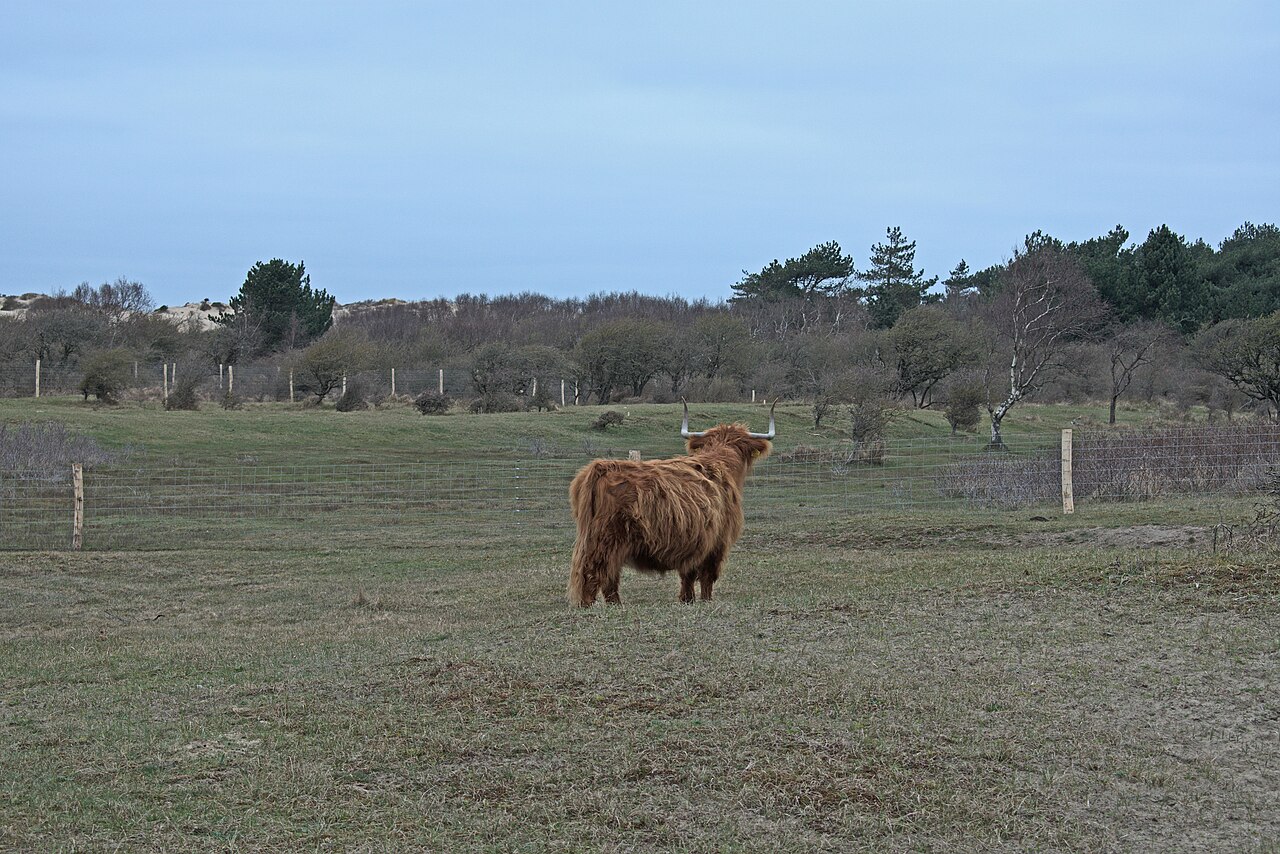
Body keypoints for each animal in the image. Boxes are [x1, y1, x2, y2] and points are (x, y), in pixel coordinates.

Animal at [567, 401, 776, 606]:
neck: (720, 463)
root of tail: (602, 467)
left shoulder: (695, 541)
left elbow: (688, 575)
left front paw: (687, 599)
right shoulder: (717, 542)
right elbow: (707, 577)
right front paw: (706, 600)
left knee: (609, 575)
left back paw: (616, 604)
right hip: (607, 538)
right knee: (593, 571)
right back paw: (588, 605)